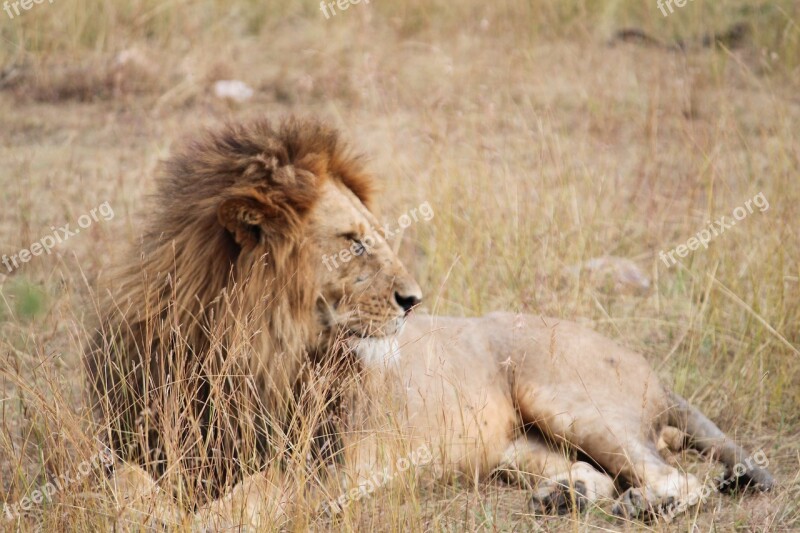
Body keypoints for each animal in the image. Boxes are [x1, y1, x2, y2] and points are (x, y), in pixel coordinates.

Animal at [89, 116, 776, 528]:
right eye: (353, 241)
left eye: (374, 235)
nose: (413, 300)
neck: (243, 344)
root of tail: (650, 368)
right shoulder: (129, 443)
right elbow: (124, 483)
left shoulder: (325, 465)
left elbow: (249, 496)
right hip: (517, 447)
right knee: (590, 470)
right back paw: (567, 496)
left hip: (568, 395)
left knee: (677, 476)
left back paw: (643, 505)